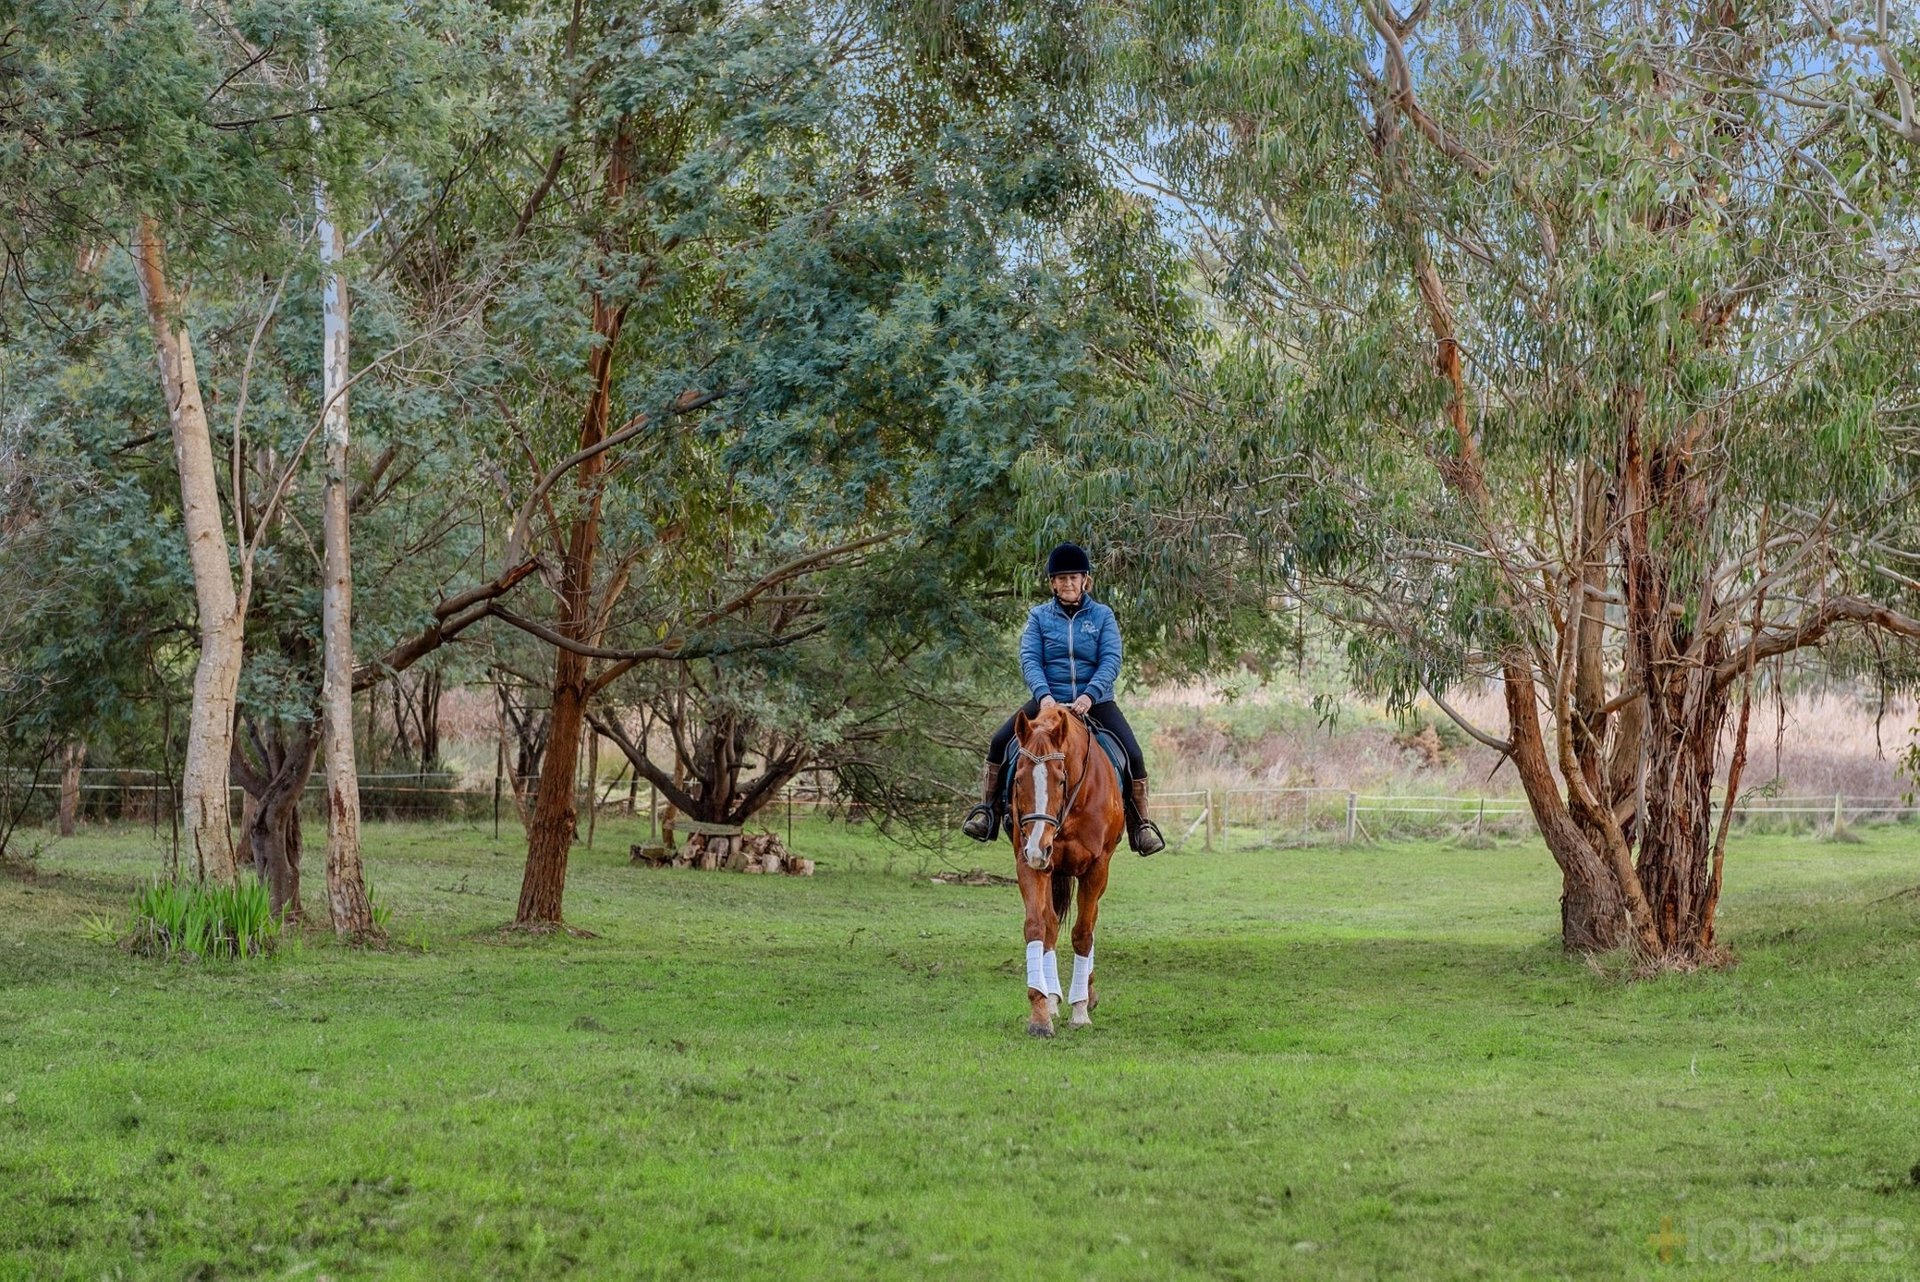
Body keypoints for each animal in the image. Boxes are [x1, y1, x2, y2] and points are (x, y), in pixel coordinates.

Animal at [1006, 706, 1121, 1036]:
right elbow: (1037, 927)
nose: (1037, 846)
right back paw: (1054, 997)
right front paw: (1040, 1012)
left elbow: (1082, 934)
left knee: (1090, 923)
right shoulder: (1029, 863)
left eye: (1060, 781)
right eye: (1018, 780)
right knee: (1052, 925)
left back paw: (1087, 993)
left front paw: (1079, 1010)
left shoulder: (1096, 868)